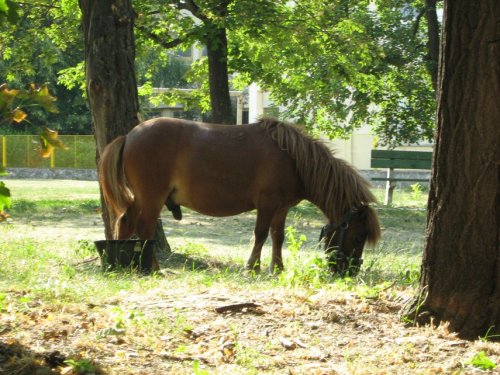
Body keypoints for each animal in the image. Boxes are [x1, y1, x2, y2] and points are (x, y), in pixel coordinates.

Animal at [99, 119, 380, 274]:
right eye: (358, 237)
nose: (350, 272)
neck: (293, 159)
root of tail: (130, 135)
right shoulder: (267, 205)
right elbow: (261, 235)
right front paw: (252, 267)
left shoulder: (282, 209)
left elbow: (278, 237)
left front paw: (277, 268)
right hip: (151, 198)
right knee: (145, 229)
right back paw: (153, 267)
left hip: (141, 199)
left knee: (125, 223)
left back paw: (123, 264)